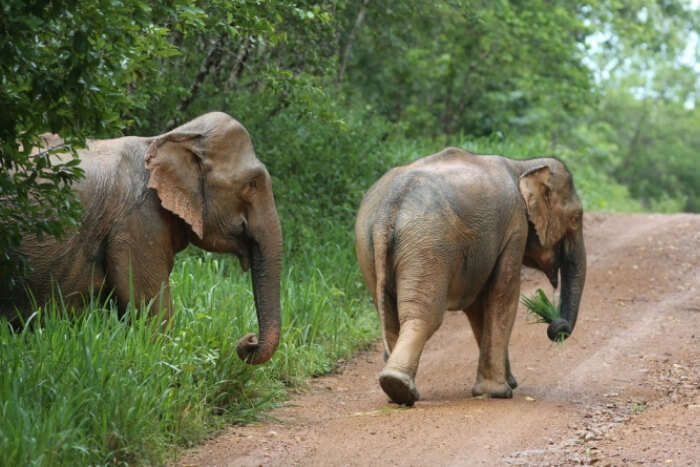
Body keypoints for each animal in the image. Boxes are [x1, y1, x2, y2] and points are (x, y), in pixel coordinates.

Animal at [356, 147, 584, 406]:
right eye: (576, 218)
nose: (555, 326)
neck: (523, 165)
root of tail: (388, 209)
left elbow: (478, 308)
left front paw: (507, 384)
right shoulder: (515, 227)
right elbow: (502, 295)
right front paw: (499, 392)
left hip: (370, 246)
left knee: (389, 314)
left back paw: (395, 390)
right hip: (427, 246)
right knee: (423, 316)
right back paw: (399, 387)